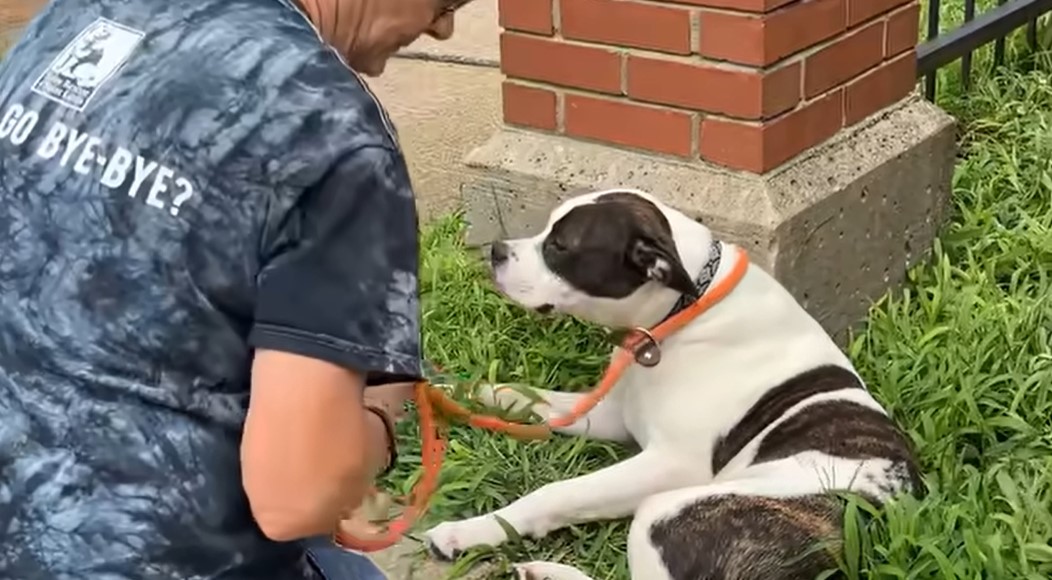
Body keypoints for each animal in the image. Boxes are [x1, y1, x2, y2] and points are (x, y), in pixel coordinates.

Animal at [422, 189, 925, 580]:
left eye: (560, 246)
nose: (497, 250)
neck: (683, 308)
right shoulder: (611, 415)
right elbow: (523, 397)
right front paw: (457, 391)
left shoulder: (670, 464)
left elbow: (558, 492)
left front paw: (469, 530)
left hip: (665, 511)